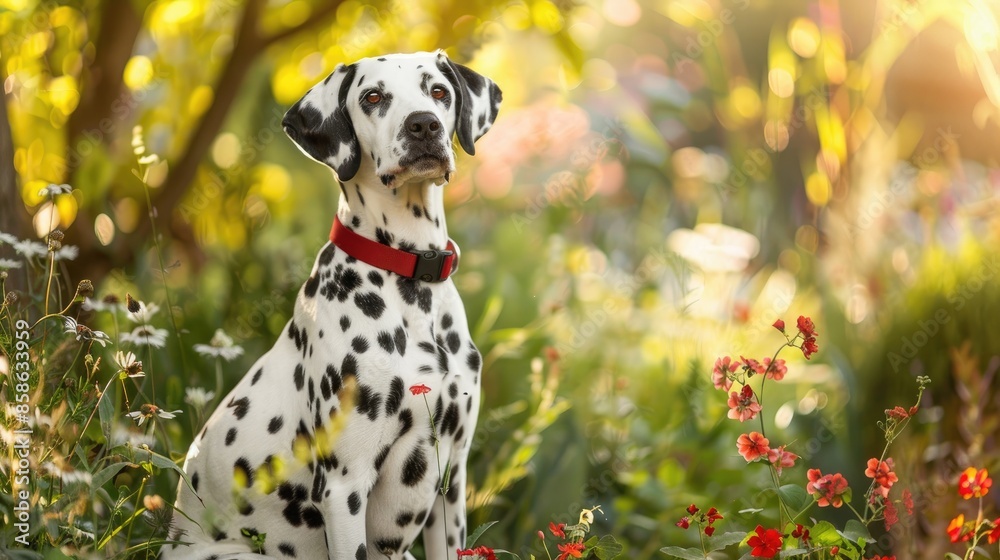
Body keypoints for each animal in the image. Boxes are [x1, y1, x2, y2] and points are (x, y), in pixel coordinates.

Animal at [167, 50, 504, 556]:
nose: (423, 125)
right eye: (373, 97)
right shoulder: (345, 487)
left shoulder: (452, 482)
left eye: (438, 91)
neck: (410, 282)